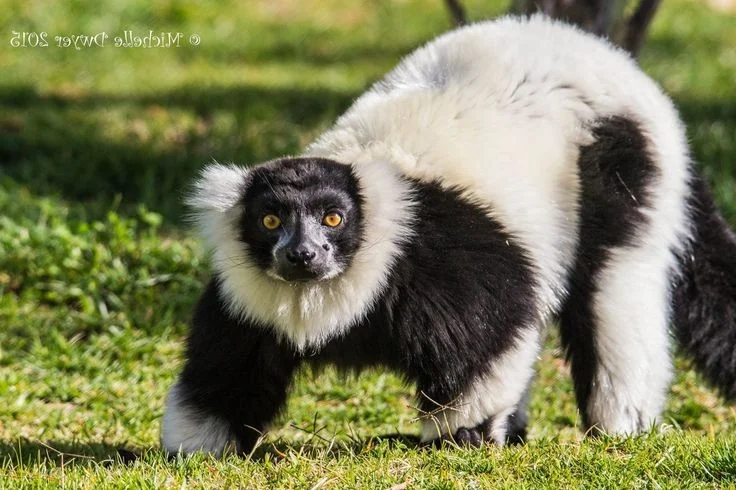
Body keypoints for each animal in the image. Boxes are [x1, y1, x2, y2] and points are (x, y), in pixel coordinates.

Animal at [161, 15, 736, 456]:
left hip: (620, 161)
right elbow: (227, 371)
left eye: (333, 219)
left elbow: (495, 332)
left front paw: (464, 438)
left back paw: (617, 429)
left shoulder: (445, 266)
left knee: (613, 289)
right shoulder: (245, 298)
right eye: (270, 221)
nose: (302, 256)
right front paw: (197, 452)